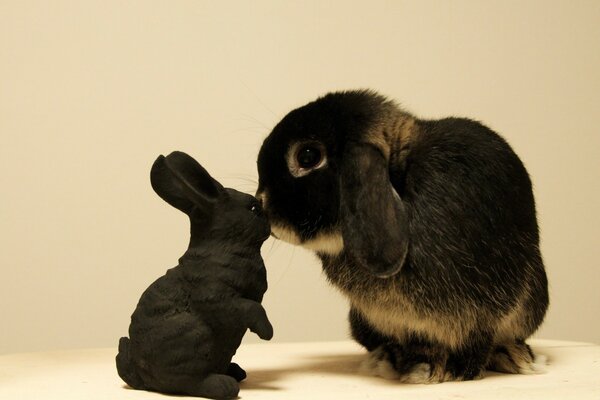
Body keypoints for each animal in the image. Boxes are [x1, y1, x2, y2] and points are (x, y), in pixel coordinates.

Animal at [115, 149, 274, 396]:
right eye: (253, 208)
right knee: (188, 382)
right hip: (195, 337)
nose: (269, 215)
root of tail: (144, 379)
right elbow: (251, 307)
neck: (226, 244)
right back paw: (225, 385)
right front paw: (267, 333)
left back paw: (236, 371)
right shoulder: (217, 298)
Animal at [254, 89, 548, 382]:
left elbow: (476, 341)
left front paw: (456, 371)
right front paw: (417, 365)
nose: (260, 202)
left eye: (307, 156)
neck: (401, 179)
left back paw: (516, 357)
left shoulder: (483, 309)